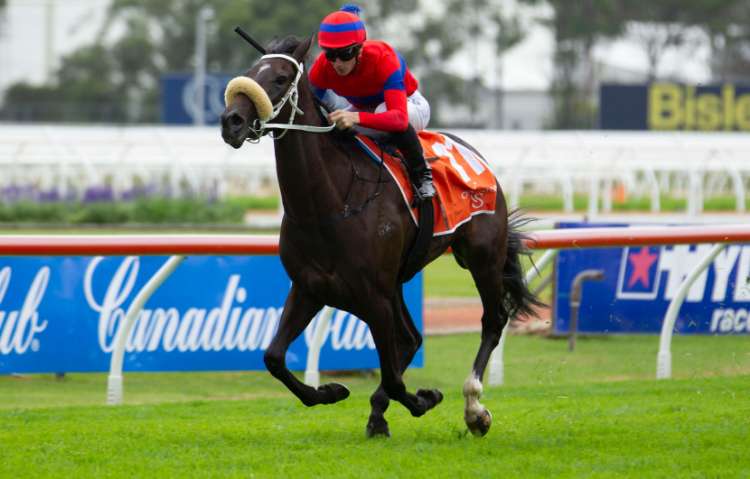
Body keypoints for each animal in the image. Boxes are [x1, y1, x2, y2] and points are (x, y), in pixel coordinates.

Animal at [220, 34, 541, 437]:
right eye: (249, 72)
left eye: (279, 78)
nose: (231, 121)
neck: (330, 203)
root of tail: (479, 159)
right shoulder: (311, 288)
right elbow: (274, 358)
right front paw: (331, 391)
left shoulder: (372, 295)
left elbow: (391, 374)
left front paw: (425, 398)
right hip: (398, 281)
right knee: (413, 337)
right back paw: (380, 412)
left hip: (482, 256)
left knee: (492, 321)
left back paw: (473, 408)